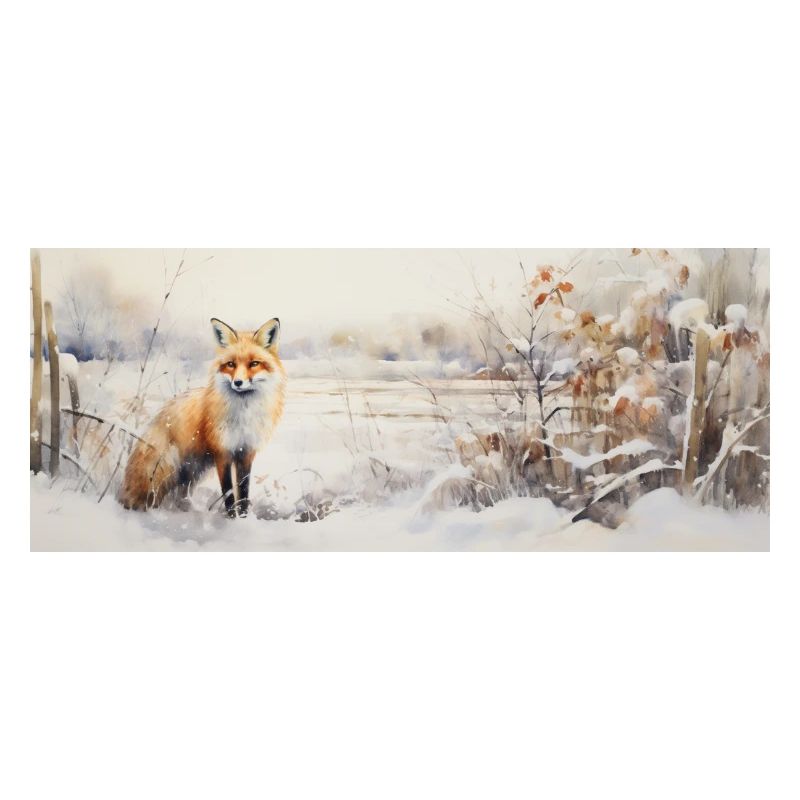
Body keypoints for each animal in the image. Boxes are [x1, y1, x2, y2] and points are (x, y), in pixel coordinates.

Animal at [118, 317, 286, 517]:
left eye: (254, 363)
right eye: (231, 364)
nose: (238, 382)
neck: (243, 414)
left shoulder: (246, 452)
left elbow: (243, 491)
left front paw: (243, 517)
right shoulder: (222, 452)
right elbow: (228, 493)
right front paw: (231, 518)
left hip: (194, 469)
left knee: (180, 493)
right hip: (169, 466)